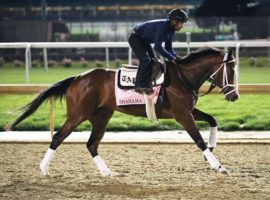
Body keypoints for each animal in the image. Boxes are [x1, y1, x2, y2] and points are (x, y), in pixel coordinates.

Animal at [6, 46, 238, 177]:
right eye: (231, 70)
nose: (234, 96)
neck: (183, 77)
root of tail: (77, 78)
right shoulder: (182, 114)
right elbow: (198, 139)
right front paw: (218, 166)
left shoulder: (188, 110)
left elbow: (212, 120)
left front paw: (211, 151)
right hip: (77, 115)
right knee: (58, 138)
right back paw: (44, 169)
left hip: (102, 115)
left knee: (92, 144)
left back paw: (107, 172)